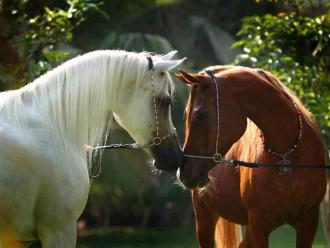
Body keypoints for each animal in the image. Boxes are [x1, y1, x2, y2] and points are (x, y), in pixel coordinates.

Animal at [177, 66, 326, 248]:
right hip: (204, 220)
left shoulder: (308, 224)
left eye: (200, 115)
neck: (287, 156)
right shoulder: (258, 227)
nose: (183, 172)